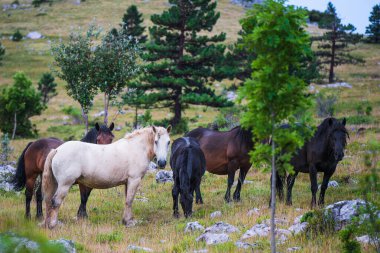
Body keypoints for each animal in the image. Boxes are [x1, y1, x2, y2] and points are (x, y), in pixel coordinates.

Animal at [42, 125, 171, 228]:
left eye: (168, 142)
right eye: (156, 141)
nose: (162, 163)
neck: (136, 148)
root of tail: (57, 150)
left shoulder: (127, 182)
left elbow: (127, 200)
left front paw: (127, 220)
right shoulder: (134, 180)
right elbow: (129, 201)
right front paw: (128, 222)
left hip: (55, 184)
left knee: (48, 201)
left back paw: (47, 223)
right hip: (64, 185)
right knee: (56, 201)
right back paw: (53, 225)